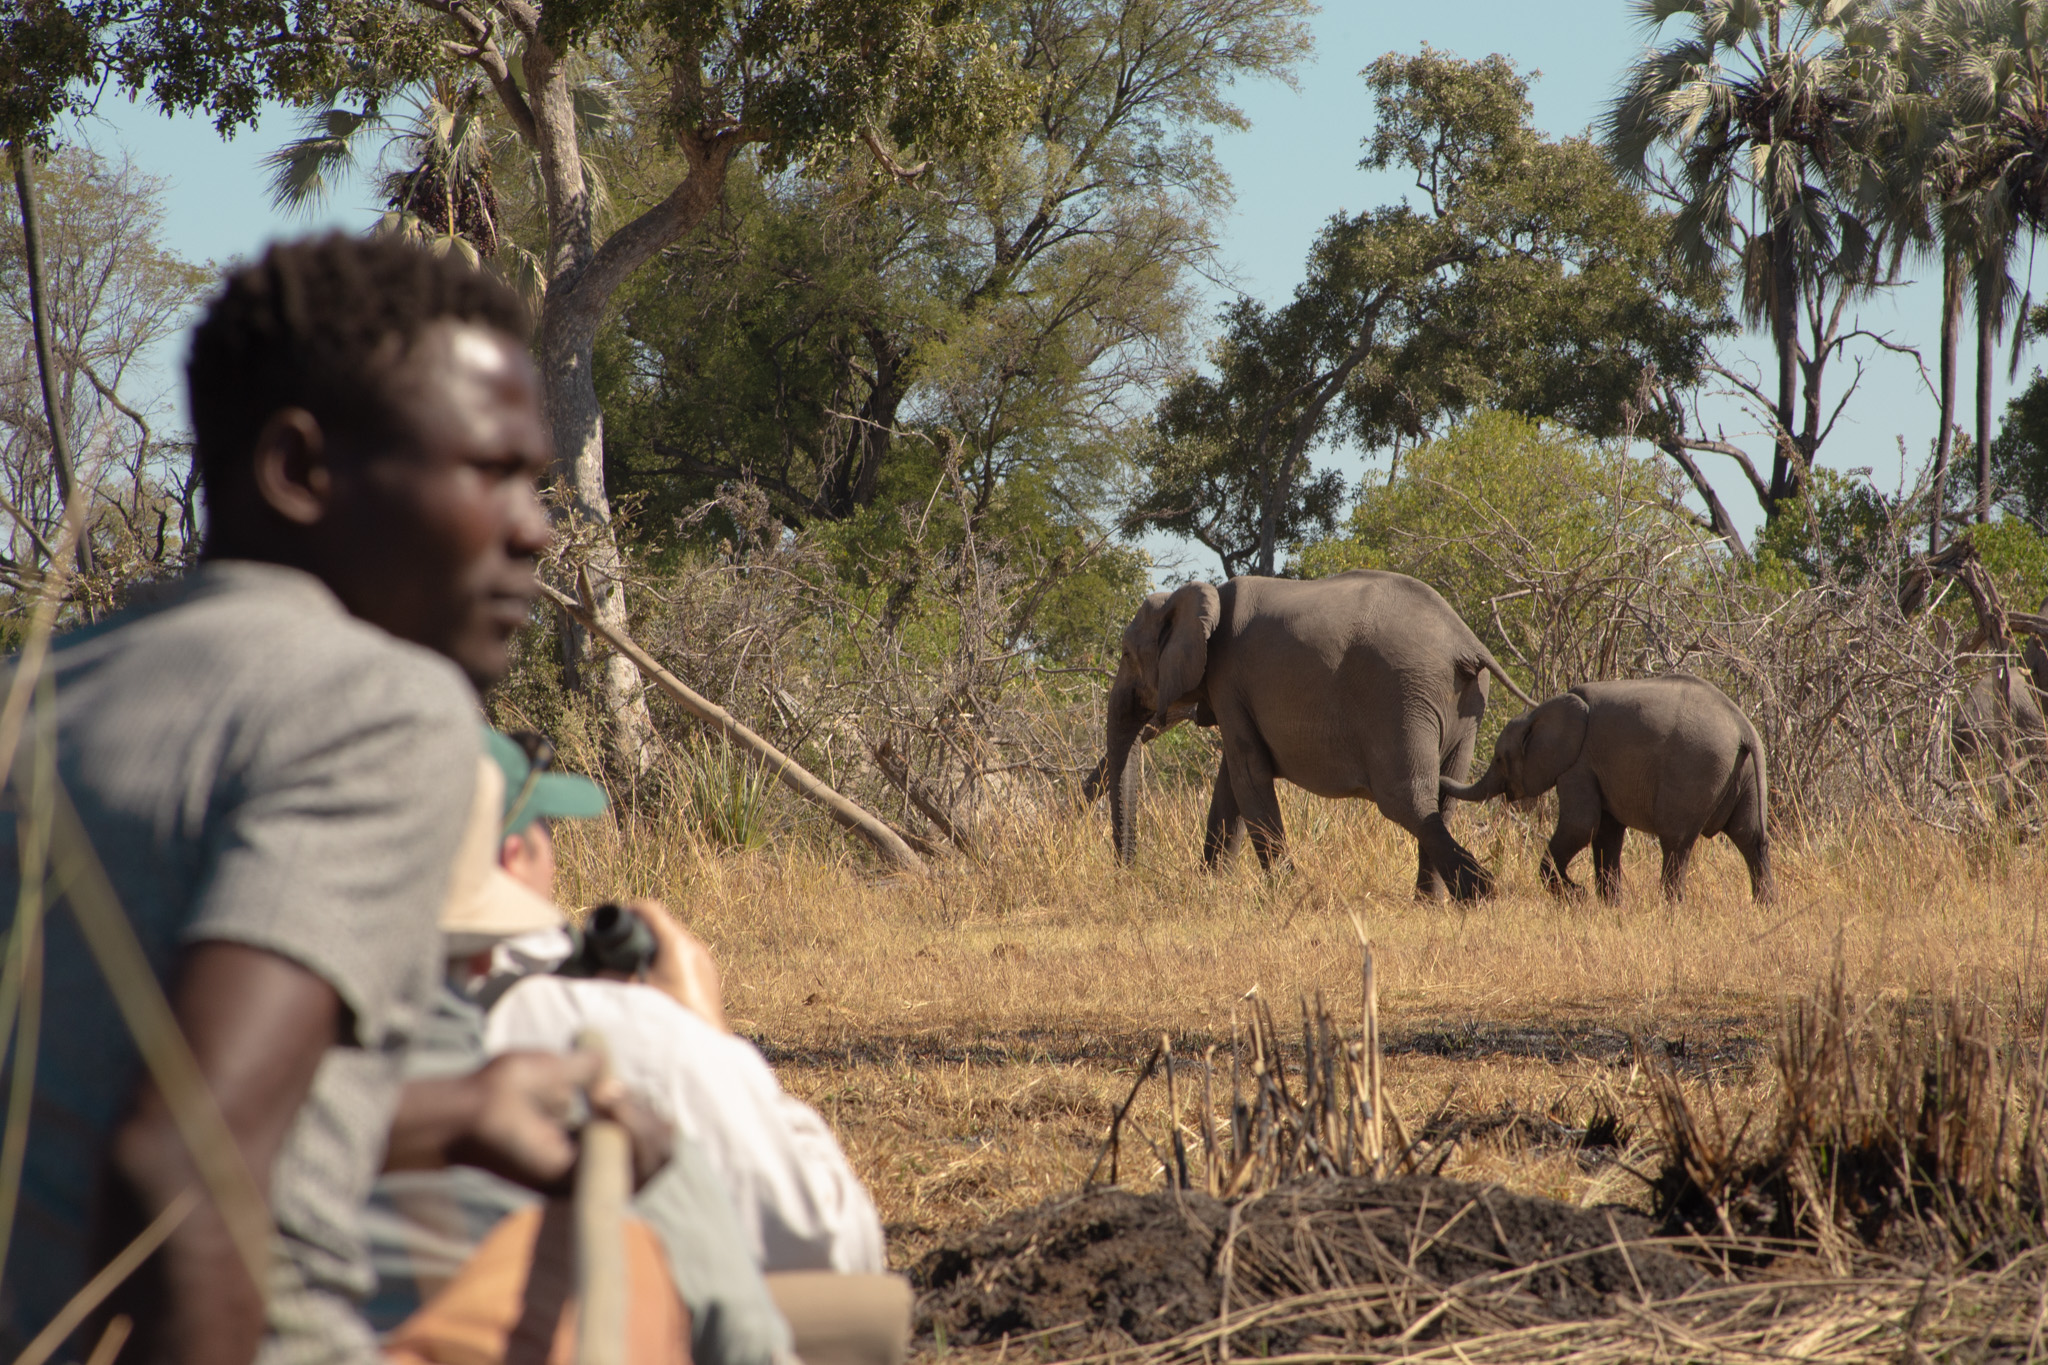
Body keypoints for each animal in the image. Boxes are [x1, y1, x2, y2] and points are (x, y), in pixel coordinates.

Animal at [1105, 573, 1523, 900]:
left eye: (1125, 654)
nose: (1128, 873)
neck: (1200, 597)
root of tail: (1465, 641)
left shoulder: (1227, 678)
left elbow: (1248, 775)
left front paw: (1288, 892)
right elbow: (1231, 784)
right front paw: (1211, 887)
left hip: (1401, 693)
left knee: (1406, 799)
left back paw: (1479, 894)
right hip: (1462, 702)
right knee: (1443, 798)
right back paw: (1433, 903)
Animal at [1441, 675, 1777, 908]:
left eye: (1499, 759)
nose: (1440, 776)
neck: (1542, 710)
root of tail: (1744, 727)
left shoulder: (1578, 763)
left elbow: (1581, 825)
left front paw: (1575, 896)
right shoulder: (1597, 768)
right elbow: (1606, 833)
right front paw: (1610, 906)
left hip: (1696, 769)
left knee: (1676, 842)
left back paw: (1672, 909)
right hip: (1744, 773)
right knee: (1750, 838)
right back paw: (1765, 907)